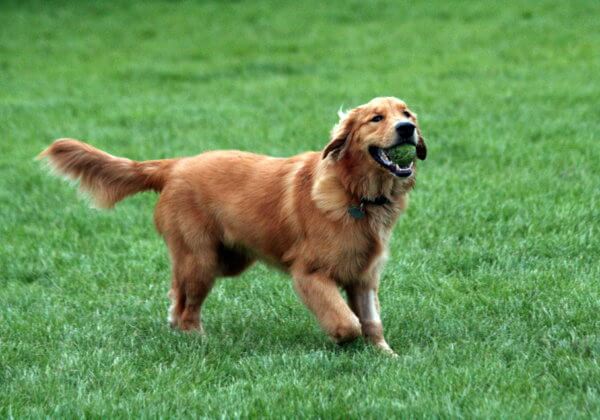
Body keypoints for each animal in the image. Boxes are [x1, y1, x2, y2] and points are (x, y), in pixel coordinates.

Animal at [39, 96, 426, 354]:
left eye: (406, 114)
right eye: (376, 118)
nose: (407, 129)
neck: (355, 193)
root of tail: (175, 165)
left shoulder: (364, 277)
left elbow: (371, 322)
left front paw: (385, 355)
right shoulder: (309, 274)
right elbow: (346, 322)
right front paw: (341, 339)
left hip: (227, 259)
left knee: (176, 292)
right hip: (202, 259)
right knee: (188, 307)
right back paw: (196, 338)